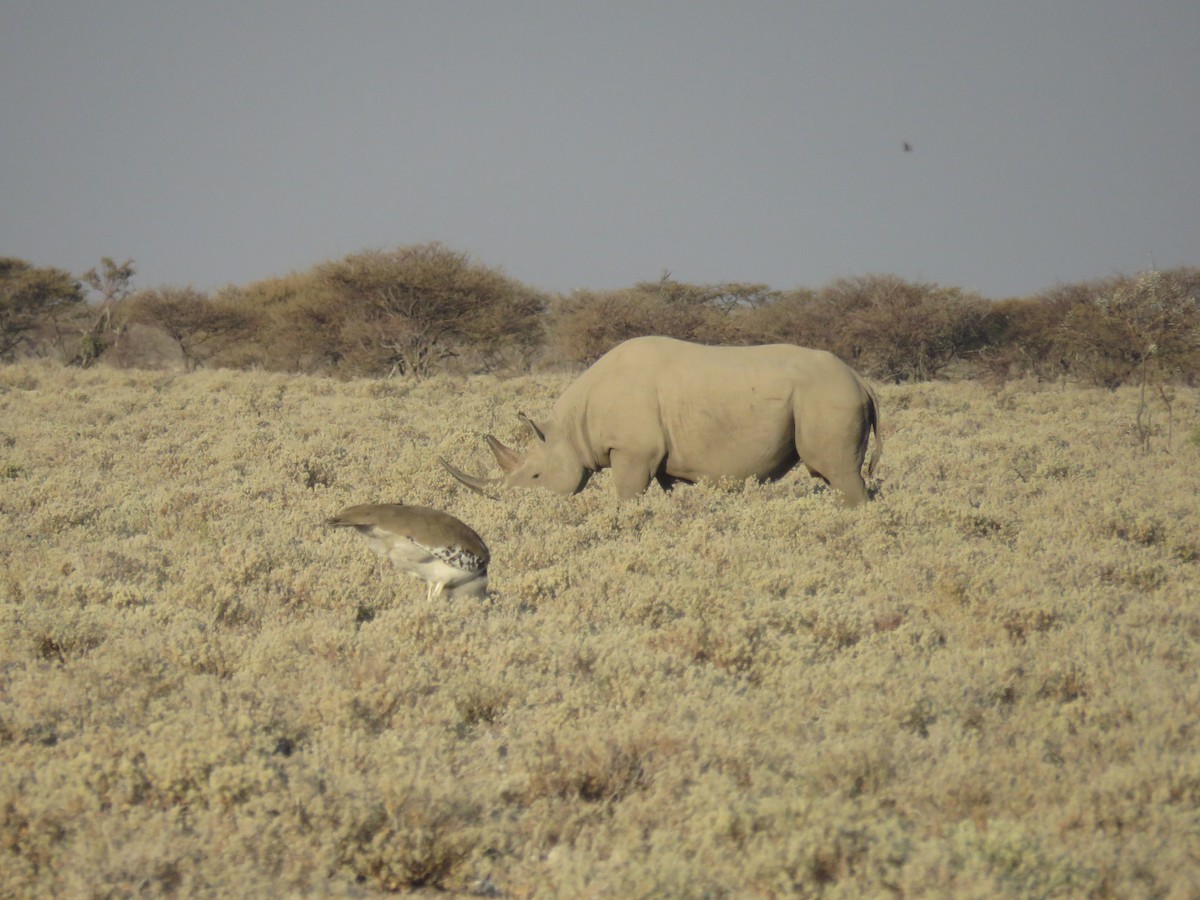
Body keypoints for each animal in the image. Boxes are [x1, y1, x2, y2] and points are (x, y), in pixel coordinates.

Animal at [441, 338, 883, 508]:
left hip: (828, 396)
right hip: (827, 396)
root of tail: (861, 379)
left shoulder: (633, 451)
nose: (511, 509)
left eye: (535, 477)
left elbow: (627, 495)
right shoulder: (663, 460)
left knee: (839, 472)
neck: (569, 429)